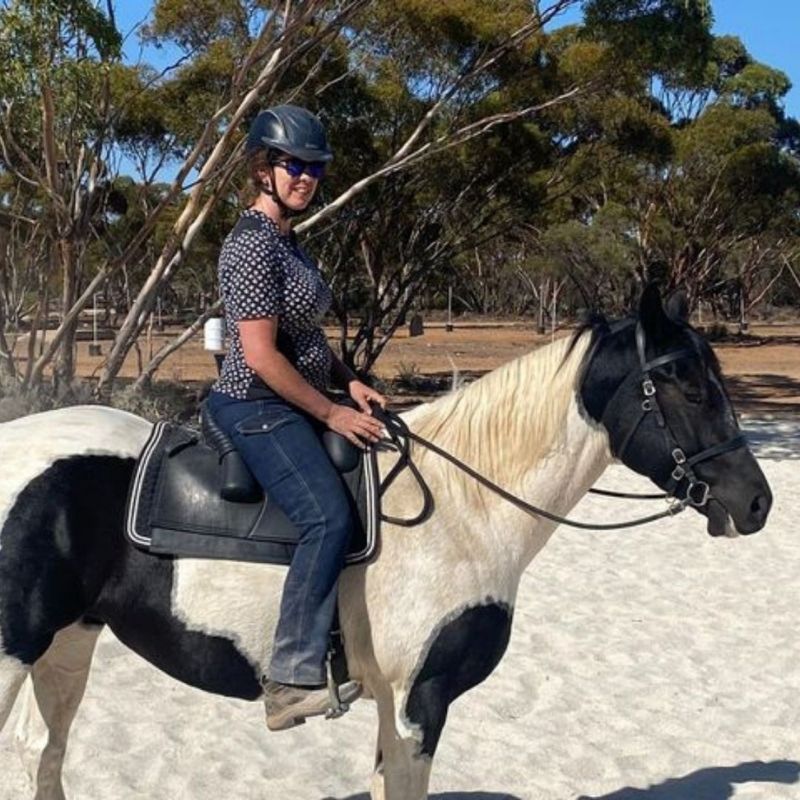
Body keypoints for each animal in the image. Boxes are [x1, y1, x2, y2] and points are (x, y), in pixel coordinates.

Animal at [0, 285, 772, 800]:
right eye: (689, 386)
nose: (757, 503)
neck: (465, 506)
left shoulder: (391, 705)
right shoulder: (417, 699)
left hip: (69, 642)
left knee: (43, 754)